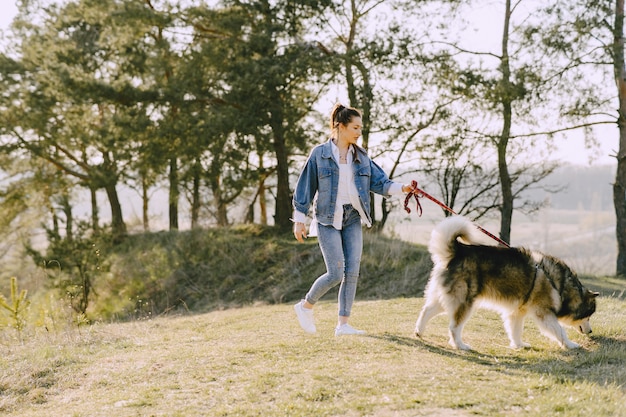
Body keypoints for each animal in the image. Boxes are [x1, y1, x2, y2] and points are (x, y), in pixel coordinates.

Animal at [412, 216, 596, 350]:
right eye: (588, 315)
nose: (591, 331)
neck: (559, 285)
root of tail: (458, 251)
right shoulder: (544, 313)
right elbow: (560, 331)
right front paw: (571, 345)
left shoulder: (517, 312)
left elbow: (516, 330)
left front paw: (518, 345)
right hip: (464, 301)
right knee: (453, 327)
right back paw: (460, 345)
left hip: (446, 298)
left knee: (426, 310)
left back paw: (419, 331)